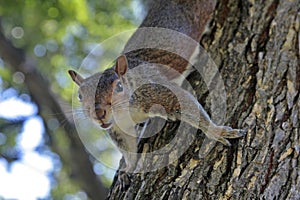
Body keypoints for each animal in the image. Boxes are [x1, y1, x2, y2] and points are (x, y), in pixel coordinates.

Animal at [68, 0, 246, 172]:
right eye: (80, 96)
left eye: (119, 86)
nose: (99, 113)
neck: (125, 112)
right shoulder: (118, 128)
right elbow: (127, 147)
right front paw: (130, 167)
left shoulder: (155, 90)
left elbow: (185, 103)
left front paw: (216, 131)